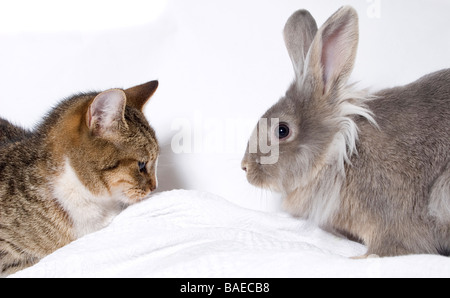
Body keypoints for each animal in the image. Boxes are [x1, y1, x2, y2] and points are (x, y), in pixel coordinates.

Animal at [243, 5, 450, 258]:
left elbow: (389, 247)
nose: (245, 167)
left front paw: (359, 258)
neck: (338, 153)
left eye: (282, 130)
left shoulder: (389, 220)